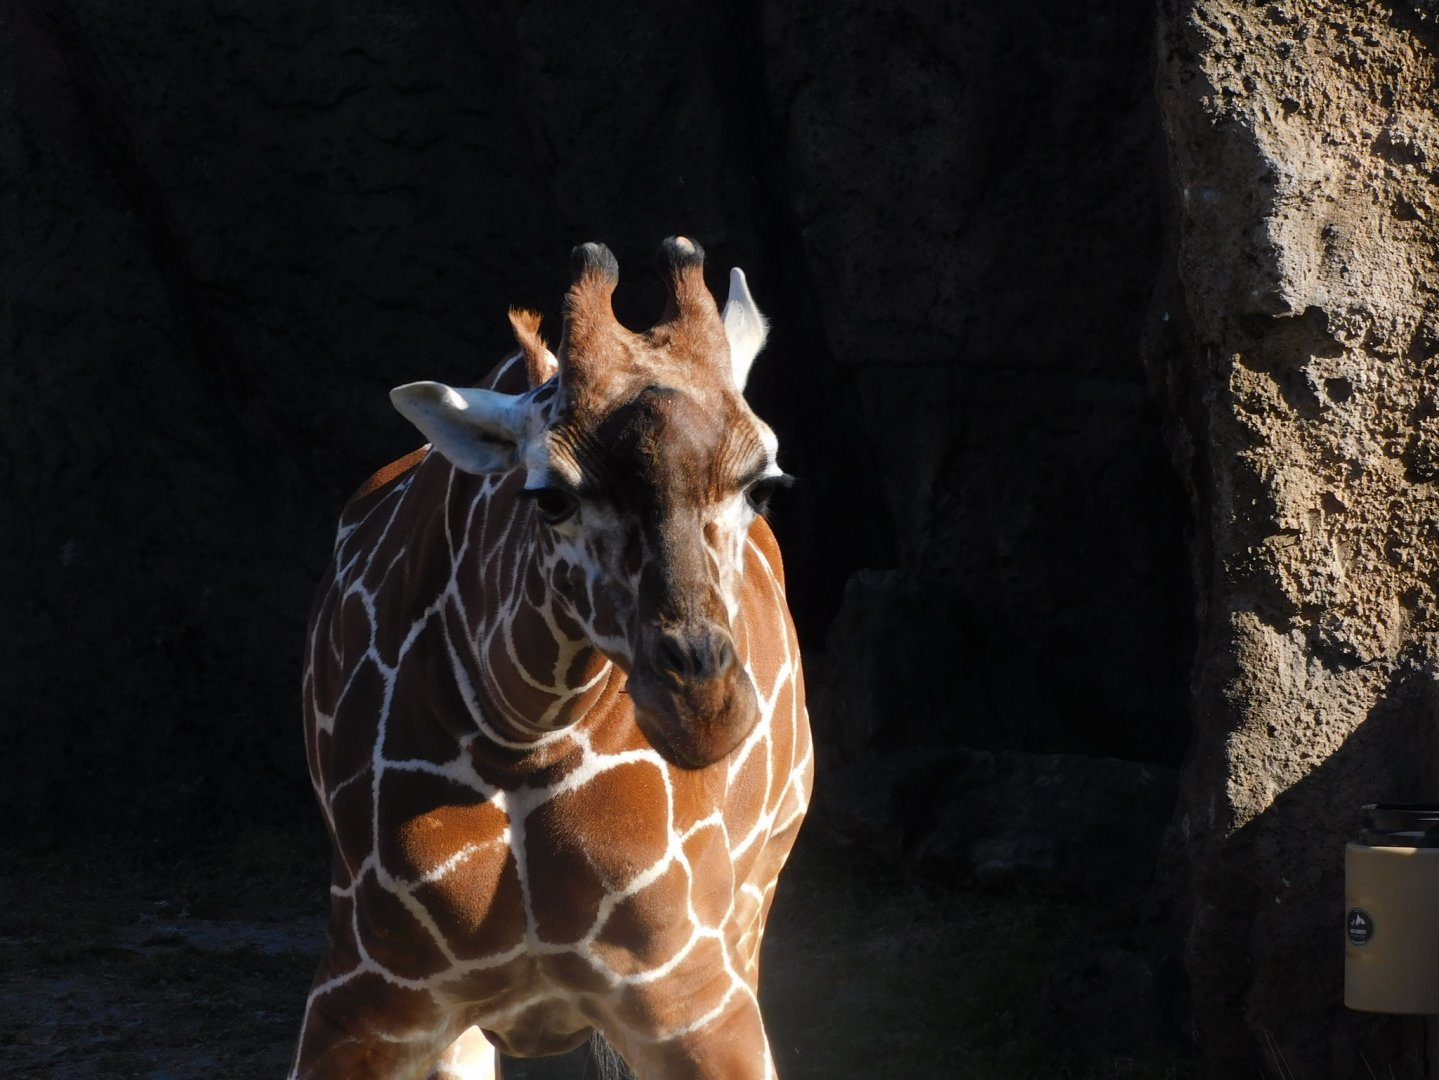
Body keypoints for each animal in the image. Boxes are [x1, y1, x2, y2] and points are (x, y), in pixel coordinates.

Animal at [291, 237, 813, 1080]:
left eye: (761, 484)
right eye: (551, 496)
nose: (702, 707)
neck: (520, 735)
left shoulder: (697, 994)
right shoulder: (365, 998)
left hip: (749, 908)